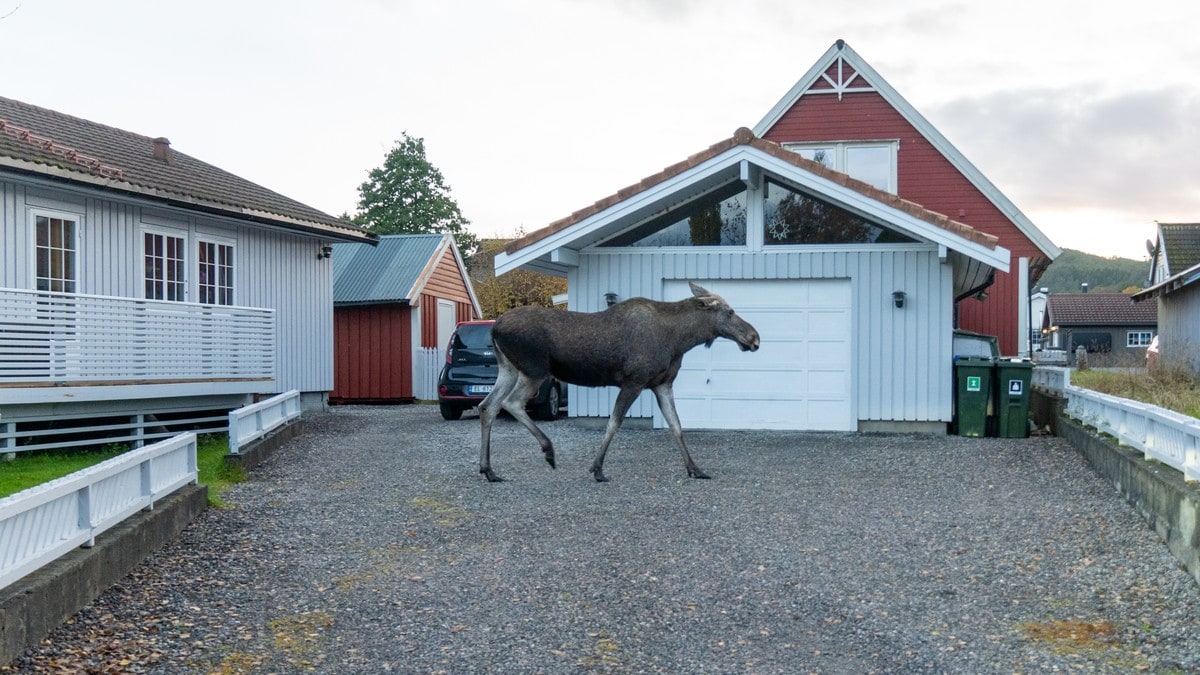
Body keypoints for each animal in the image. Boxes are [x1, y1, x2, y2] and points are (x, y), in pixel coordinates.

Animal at [477, 281, 758, 480]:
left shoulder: (662, 383)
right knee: (511, 403)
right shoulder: (634, 381)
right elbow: (613, 423)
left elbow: (676, 425)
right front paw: (597, 468)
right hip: (534, 370)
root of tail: (494, 328)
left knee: (487, 406)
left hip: (509, 369)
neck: (679, 340)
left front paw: (695, 469)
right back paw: (548, 451)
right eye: (730, 311)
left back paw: (488, 469)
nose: (754, 337)